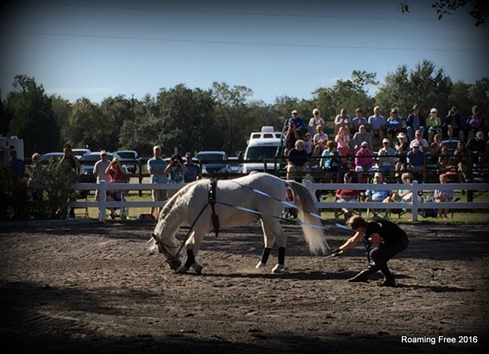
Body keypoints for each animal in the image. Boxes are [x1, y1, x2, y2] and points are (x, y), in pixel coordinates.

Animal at [149, 171, 328, 274]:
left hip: (270, 218)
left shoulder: (200, 228)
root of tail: (281, 181)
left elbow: (191, 246)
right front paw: (191, 265)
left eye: (160, 249)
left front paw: (188, 266)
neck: (189, 200)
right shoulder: (199, 228)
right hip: (265, 219)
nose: (173, 265)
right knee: (269, 239)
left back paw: (279, 267)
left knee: (281, 238)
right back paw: (261, 264)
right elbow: (190, 245)